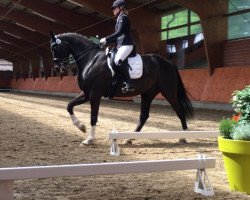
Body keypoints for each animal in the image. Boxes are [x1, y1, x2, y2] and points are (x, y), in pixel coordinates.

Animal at [49, 32, 193, 145]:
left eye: (56, 47)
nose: (57, 68)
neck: (91, 59)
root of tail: (168, 62)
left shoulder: (95, 93)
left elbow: (93, 117)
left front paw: (89, 139)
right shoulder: (86, 93)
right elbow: (69, 106)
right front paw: (81, 127)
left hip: (169, 92)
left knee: (180, 111)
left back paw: (184, 137)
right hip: (148, 93)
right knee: (144, 116)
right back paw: (129, 138)